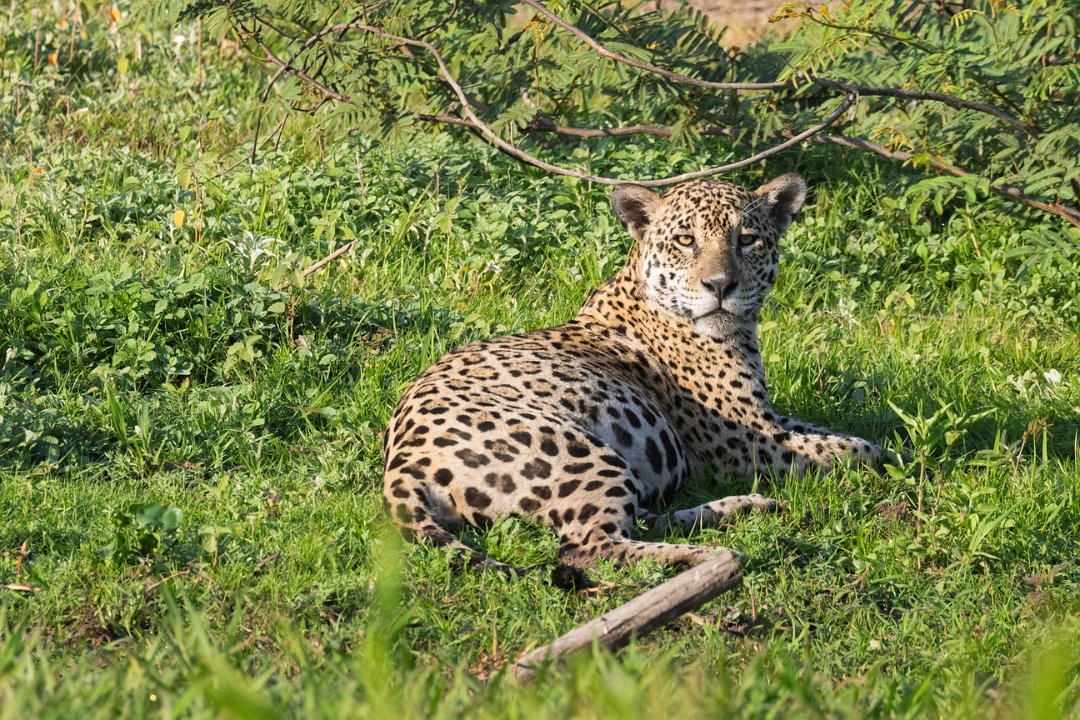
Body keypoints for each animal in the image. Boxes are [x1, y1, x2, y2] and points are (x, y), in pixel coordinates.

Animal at [382, 173, 881, 582]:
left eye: (747, 240)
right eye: (685, 239)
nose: (720, 286)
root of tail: (401, 464)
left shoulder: (768, 418)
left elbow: (840, 435)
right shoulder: (742, 440)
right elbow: (851, 451)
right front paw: (884, 458)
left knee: (641, 518)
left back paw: (747, 507)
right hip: (581, 452)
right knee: (589, 547)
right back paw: (710, 557)